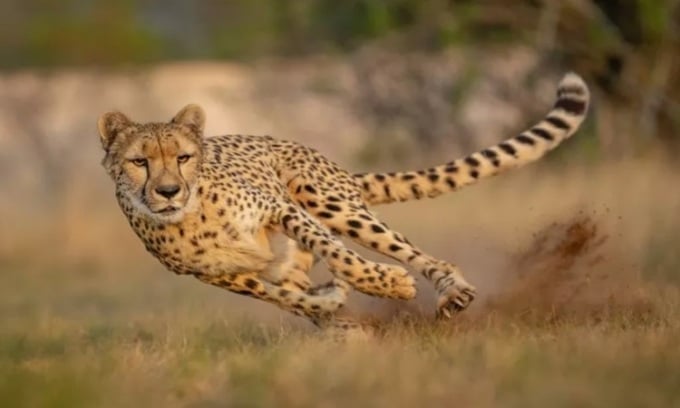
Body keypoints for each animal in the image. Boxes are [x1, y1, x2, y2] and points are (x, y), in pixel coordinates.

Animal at [97, 71, 588, 330]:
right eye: (140, 162)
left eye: (183, 157)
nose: (168, 191)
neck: (190, 216)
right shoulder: (223, 276)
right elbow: (290, 299)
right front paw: (336, 312)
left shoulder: (282, 209)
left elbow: (341, 256)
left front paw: (387, 284)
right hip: (291, 251)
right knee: (297, 284)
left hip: (327, 200)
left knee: (412, 254)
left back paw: (450, 290)